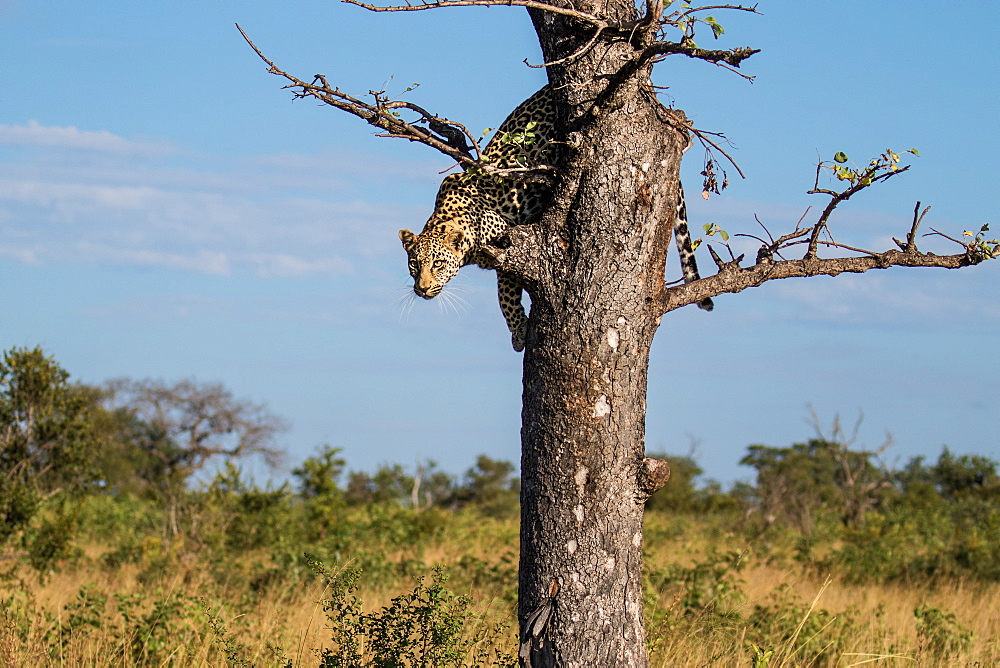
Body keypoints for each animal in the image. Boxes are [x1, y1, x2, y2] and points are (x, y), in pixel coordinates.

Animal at [396, 86, 712, 352]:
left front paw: (519, 331)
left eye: (438, 263)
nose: (421, 288)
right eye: (414, 264)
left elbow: (505, 294)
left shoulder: (508, 243)